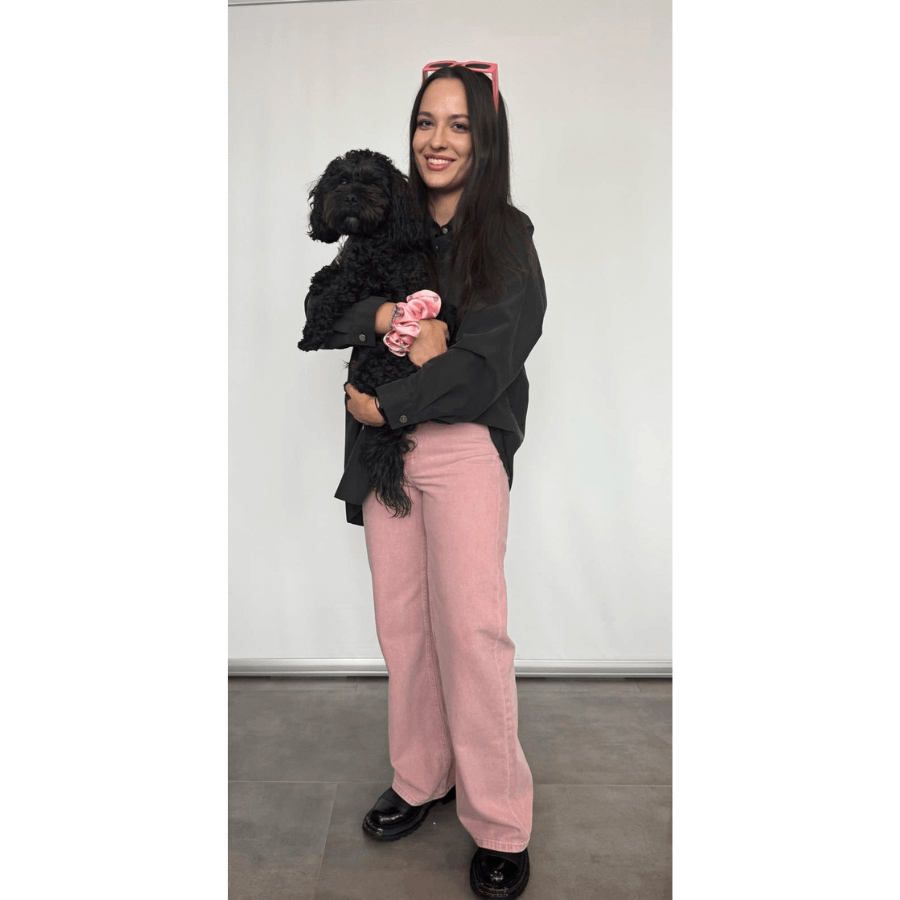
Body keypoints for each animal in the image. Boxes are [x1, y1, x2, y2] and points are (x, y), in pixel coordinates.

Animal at [297, 149, 455, 517]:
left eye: (372, 182)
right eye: (341, 181)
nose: (352, 197)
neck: (371, 238)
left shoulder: (365, 277)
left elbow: (334, 293)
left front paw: (311, 333)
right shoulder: (351, 263)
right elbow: (330, 274)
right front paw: (318, 280)